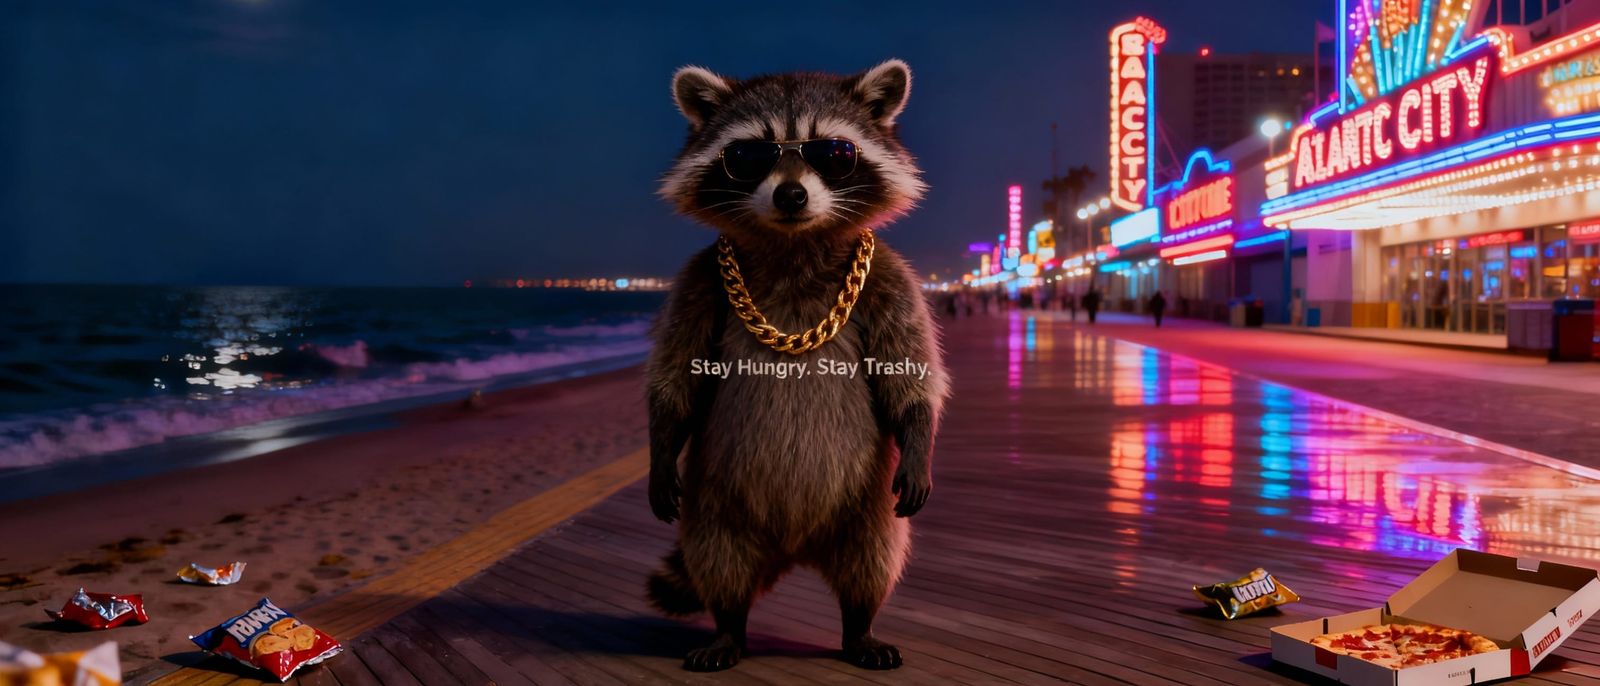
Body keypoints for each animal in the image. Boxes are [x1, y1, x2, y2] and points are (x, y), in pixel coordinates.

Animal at [646, 59, 948, 672]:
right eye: (746, 156)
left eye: (834, 152)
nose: (790, 194)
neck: (793, 244)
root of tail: (793, 546)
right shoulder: (698, 280)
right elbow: (677, 375)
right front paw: (661, 444)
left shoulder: (889, 276)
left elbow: (909, 372)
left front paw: (919, 431)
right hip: (716, 502)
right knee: (718, 558)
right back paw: (728, 627)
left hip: (867, 506)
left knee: (873, 559)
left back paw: (860, 625)